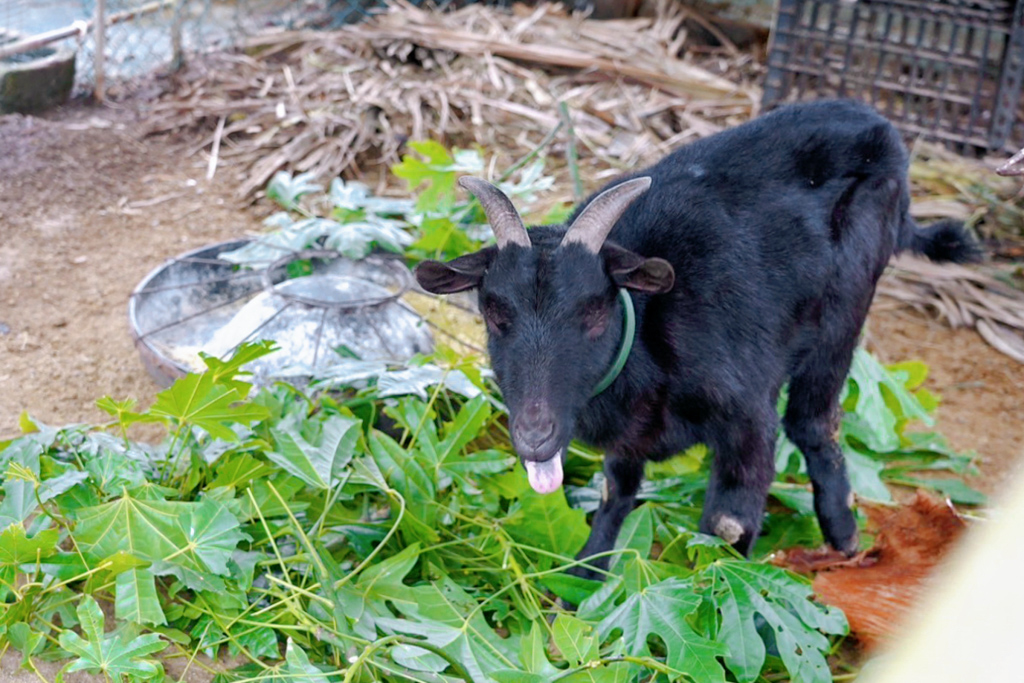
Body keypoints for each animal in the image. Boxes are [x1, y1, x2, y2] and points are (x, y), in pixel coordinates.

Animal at [413, 98, 974, 573]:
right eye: (493, 313)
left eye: (594, 311)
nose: (535, 438)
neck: (647, 340)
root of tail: (883, 130)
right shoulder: (629, 439)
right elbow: (615, 492)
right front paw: (586, 577)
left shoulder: (748, 421)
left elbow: (728, 526)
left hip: (848, 301)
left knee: (815, 421)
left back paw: (845, 540)